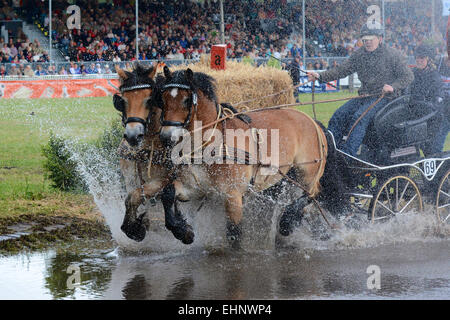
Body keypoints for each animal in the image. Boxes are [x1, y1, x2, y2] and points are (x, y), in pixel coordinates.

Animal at [113, 65, 194, 245]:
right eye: (123, 101)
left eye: (150, 100)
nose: (133, 136)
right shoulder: (130, 175)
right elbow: (131, 197)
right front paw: (136, 226)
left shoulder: (165, 178)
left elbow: (136, 196)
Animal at [152, 67, 326, 248]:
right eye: (163, 99)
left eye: (186, 100)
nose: (166, 136)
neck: (213, 144)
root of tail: (311, 120)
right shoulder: (195, 188)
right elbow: (168, 193)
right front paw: (182, 231)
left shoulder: (233, 196)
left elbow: (234, 234)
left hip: (307, 172)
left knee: (311, 194)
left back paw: (288, 222)